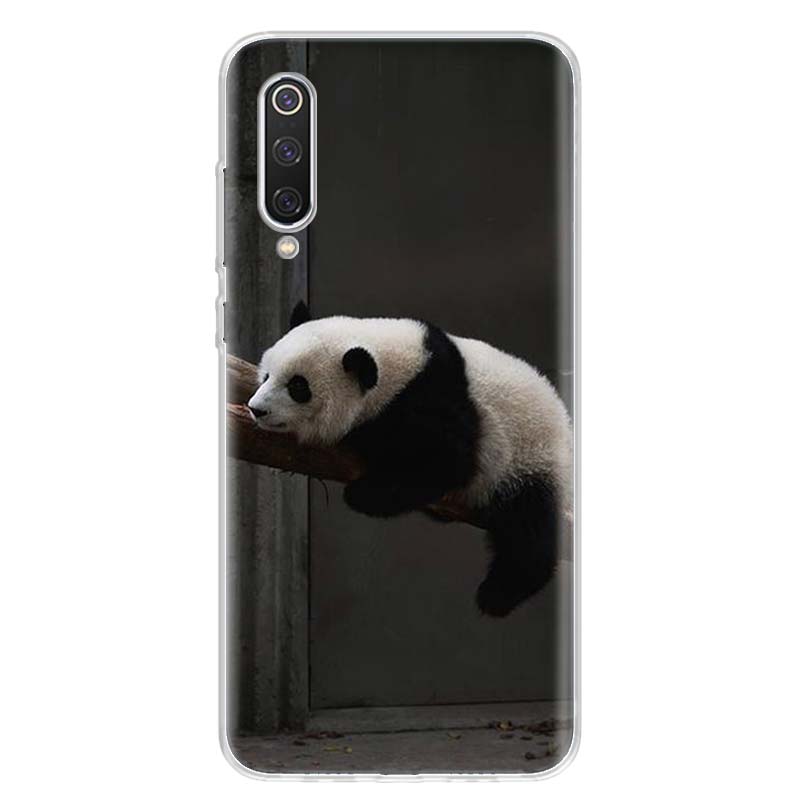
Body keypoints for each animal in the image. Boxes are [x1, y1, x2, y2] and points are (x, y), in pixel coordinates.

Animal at [246, 302, 573, 617]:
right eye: (267, 375)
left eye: (298, 387)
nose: (256, 409)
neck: (399, 368)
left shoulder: (433, 400)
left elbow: (447, 463)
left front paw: (364, 492)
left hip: (531, 458)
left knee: (529, 528)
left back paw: (498, 595)